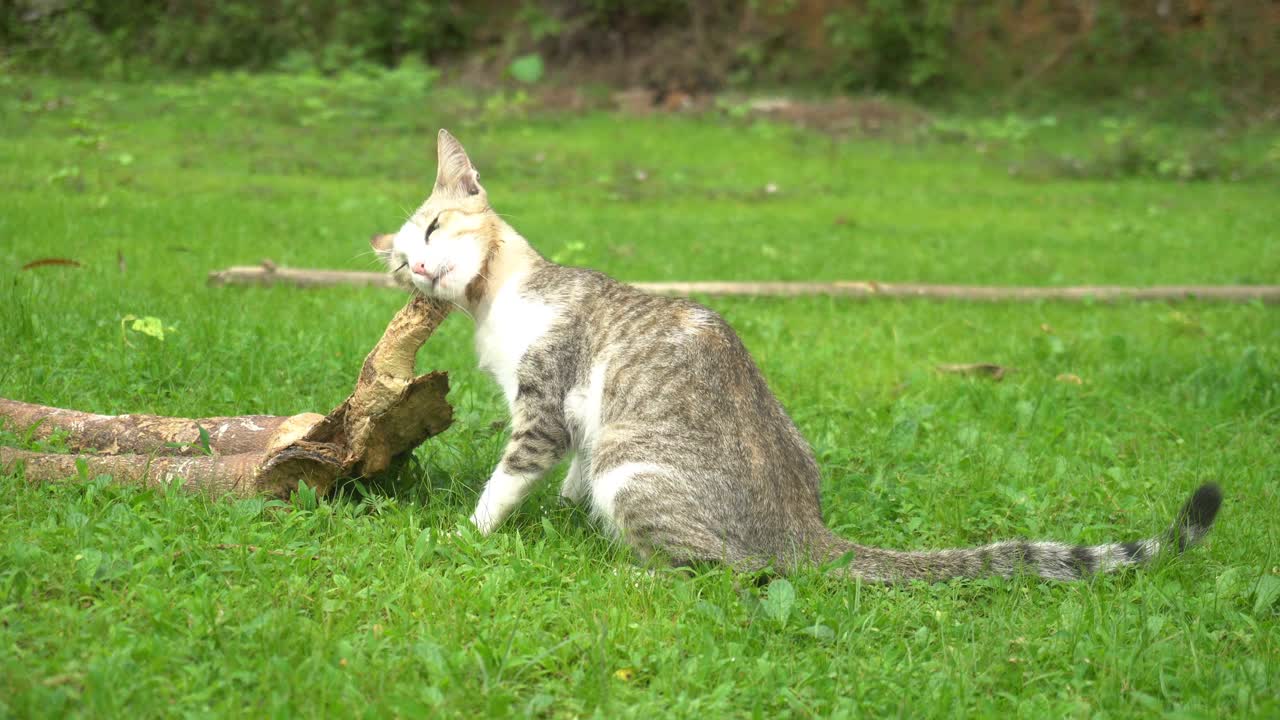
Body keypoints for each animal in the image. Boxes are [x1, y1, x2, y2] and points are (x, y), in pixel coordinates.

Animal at [371, 127, 1218, 576]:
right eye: (400, 264)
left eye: (437, 228)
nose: (420, 269)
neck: (500, 299)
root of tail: (799, 525)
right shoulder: (576, 421)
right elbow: (568, 468)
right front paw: (561, 508)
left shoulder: (544, 405)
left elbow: (509, 478)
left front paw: (471, 532)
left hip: (632, 469)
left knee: (719, 571)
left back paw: (627, 570)